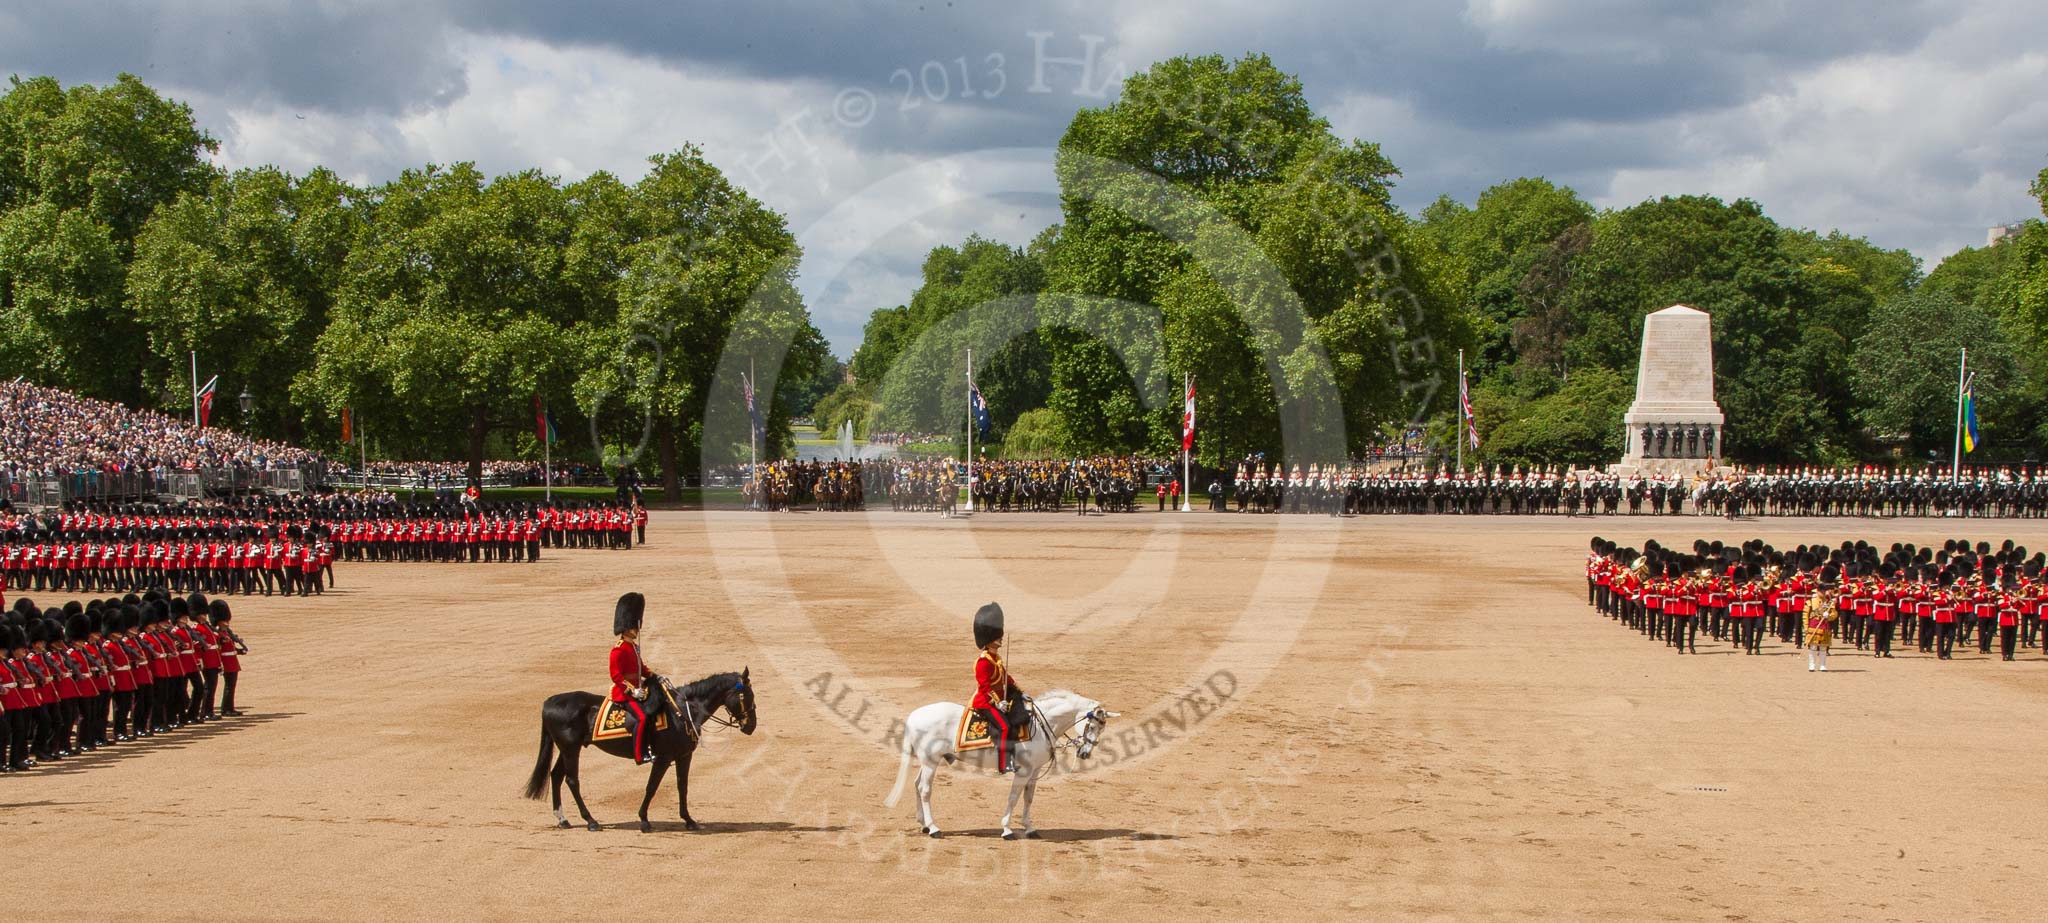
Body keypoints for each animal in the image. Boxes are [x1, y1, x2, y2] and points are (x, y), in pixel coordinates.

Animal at [524, 667, 757, 834]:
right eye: (747, 696)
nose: (751, 726)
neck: (682, 712)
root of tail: (550, 701)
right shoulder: (663, 758)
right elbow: (651, 787)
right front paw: (644, 820)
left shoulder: (684, 756)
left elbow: (682, 786)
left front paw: (689, 820)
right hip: (571, 749)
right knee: (572, 780)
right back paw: (590, 820)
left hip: (567, 749)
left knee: (556, 775)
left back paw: (563, 819)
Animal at [876, 691, 1105, 843]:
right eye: (1092, 725)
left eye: (1101, 729)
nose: (1085, 753)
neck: (1040, 725)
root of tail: (914, 715)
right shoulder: (1023, 772)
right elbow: (1013, 798)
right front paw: (1007, 829)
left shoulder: (1034, 771)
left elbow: (1028, 798)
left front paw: (1030, 828)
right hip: (931, 762)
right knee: (925, 790)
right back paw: (933, 828)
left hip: (927, 761)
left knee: (916, 785)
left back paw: (923, 824)